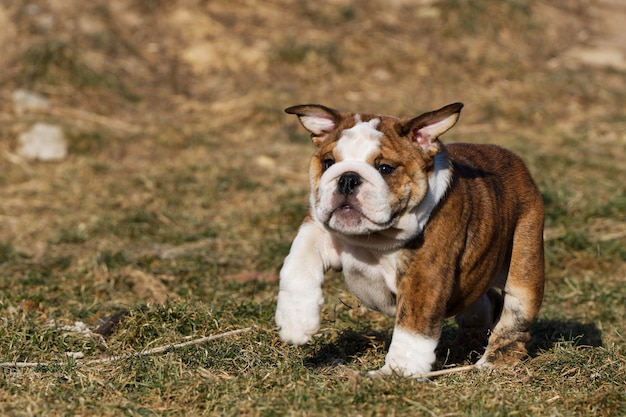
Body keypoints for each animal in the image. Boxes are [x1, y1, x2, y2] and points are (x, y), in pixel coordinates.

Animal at [272, 102, 540, 376]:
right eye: (328, 162)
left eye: (385, 168)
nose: (347, 178)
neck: (373, 239)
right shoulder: (316, 228)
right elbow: (297, 264)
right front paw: (295, 321)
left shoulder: (423, 274)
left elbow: (412, 328)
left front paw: (397, 373)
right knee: (481, 302)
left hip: (524, 264)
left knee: (515, 316)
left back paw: (494, 361)